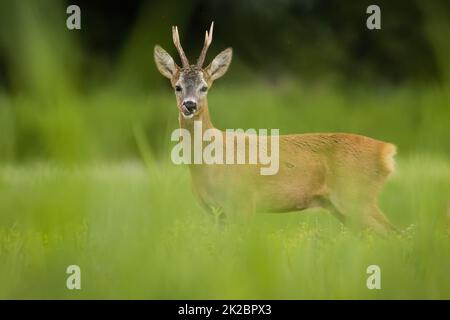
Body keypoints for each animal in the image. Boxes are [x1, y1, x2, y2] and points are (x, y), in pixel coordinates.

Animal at [156, 21, 398, 232]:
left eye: (204, 87)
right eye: (177, 87)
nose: (189, 105)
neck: (209, 162)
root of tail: (386, 151)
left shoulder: (244, 202)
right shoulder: (214, 212)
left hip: (357, 197)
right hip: (343, 207)